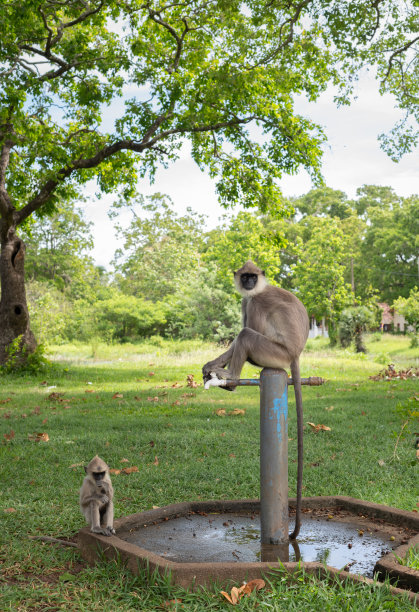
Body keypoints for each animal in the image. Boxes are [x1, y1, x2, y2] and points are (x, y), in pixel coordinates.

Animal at [202, 260, 310, 536]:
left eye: (253, 276)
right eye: (245, 277)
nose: (249, 283)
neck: (258, 290)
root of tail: (295, 354)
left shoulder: (255, 302)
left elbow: (248, 329)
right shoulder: (245, 300)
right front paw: (211, 364)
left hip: (275, 353)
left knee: (247, 334)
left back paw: (231, 378)